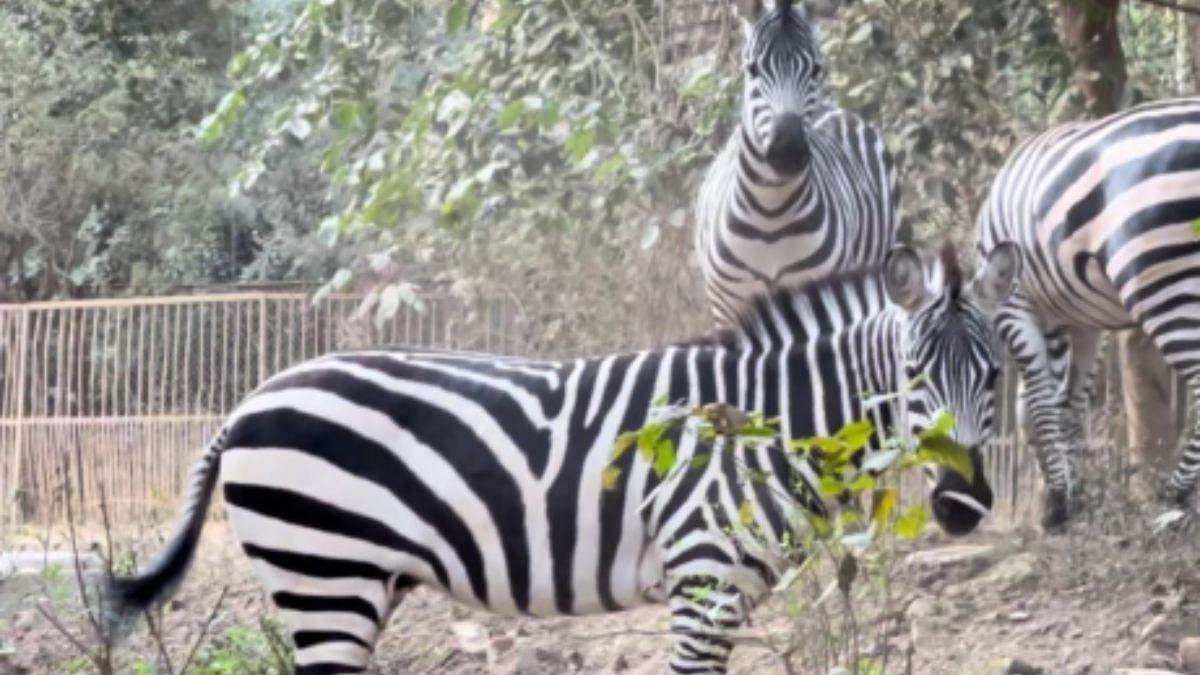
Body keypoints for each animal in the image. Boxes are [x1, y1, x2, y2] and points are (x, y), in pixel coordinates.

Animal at [109, 243, 1018, 674]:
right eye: (912, 377)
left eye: (995, 376)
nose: (962, 507)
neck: (769, 424)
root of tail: (244, 404)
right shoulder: (702, 578)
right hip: (323, 573)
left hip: (348, 578)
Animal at [976, 97, 1200, 529]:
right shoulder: (1084, 323)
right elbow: (1070, 405)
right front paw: (1073, 497)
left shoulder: (1015, 306)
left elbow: (1041, 405)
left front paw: (1058, 502)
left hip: (1159, 278)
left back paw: (1174, 497)